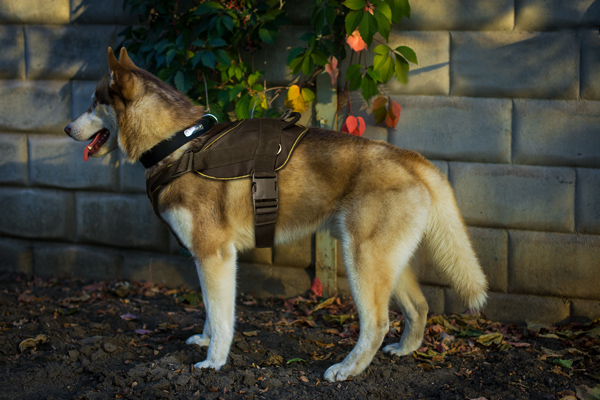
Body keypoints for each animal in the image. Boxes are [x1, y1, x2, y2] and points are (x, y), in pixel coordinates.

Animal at [65, 47, 488, 382]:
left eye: (93, 102)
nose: (67, 128)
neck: (178, 145)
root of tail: (410, 157)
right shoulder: (207, 258)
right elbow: (210, 310)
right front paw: (204, 340)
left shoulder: (214, 254)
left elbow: (222, 317)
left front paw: (214, 361)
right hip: (385, 260)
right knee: (419, 306)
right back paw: (406, 350)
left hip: (362, 260)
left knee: (377, 322)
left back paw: (347, 369)